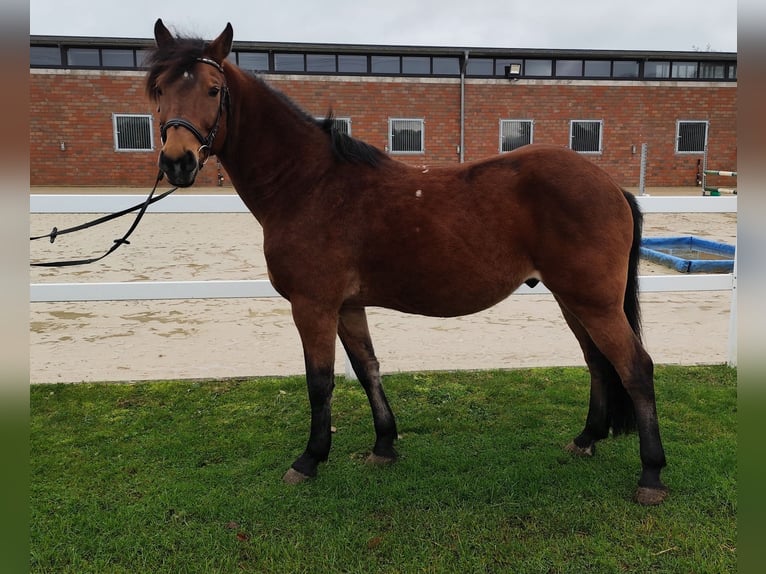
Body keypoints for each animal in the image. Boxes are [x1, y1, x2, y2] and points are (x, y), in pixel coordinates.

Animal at [147, 18, 668, 506]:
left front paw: (309, 459)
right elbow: (367, 369)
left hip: (593, 301)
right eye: (158, 89)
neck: (310, 185)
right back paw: (587, 438)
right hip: (571, 297)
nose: (177, 162)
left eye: (214, 90)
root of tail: (610, 185)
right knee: (597, 361)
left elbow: (319, 382)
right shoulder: (347, 306)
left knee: (635, 368)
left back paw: (651, 475)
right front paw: (384, 445)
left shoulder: (312, 305)